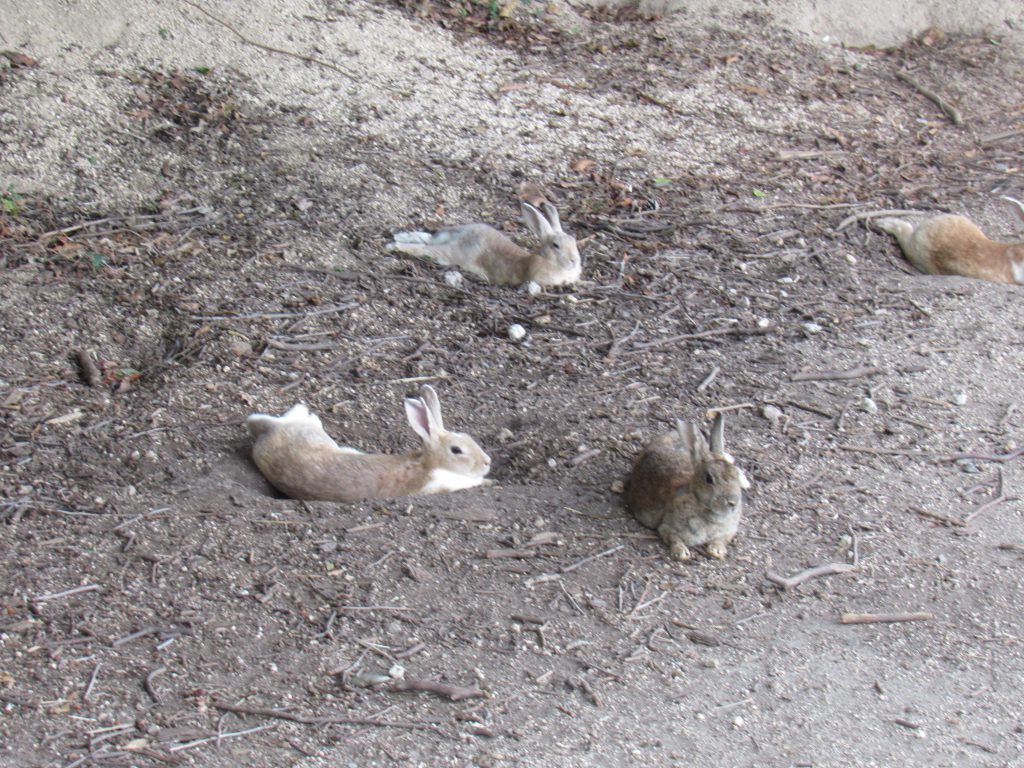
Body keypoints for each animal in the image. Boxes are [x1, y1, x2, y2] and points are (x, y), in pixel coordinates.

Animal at [385, 192, 581, 288]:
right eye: (556, 246)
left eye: (574, 242)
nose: (574, 261)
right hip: (451, 254)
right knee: (425, 249)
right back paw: (393, 246)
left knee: (427, 238)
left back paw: (397, 237)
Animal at [618, 411, 749, 561]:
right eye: (709, 479)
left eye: (735, 474)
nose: (733, 502)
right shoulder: (667, 527)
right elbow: (673, 538)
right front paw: (681, 553)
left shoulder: (729, 531)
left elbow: (722, 539)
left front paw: (717, 550)